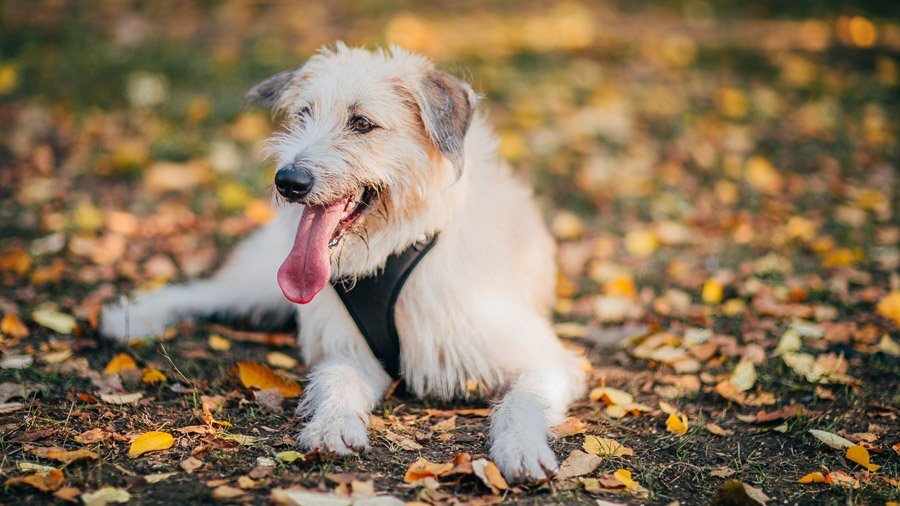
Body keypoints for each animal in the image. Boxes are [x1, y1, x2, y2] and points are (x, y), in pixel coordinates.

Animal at [102, 44, 588, 482]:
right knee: (206, 290)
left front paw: (520, 447)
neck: (390, 251)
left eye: (362, 123)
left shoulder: (539, 356)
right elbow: (338, 383)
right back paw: (135, 317)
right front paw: (333, 425)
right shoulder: (350, 350)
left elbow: (523, 401)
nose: (288, 181)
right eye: (303, 114)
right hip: (265, 281)